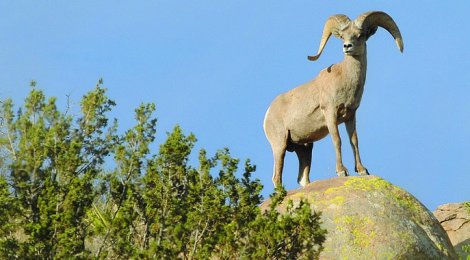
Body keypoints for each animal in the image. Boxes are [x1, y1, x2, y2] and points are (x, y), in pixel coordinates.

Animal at [264, 10, 404, 187]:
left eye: (361, 35)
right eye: (343, 36)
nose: (347, 47)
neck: (344, 78)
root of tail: (268, 114)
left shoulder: (350, 116)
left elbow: (354, 141)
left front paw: (362, 170)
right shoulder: (330, 114)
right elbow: (337, 141)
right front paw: (342, 171)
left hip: (304, 148)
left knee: (302, 178)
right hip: (280, 145)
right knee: (277, 177)